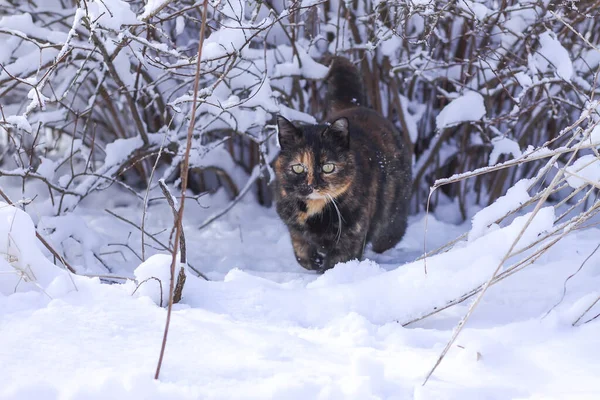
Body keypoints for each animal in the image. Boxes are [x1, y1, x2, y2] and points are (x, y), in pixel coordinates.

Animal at [274, 57, 410, 272]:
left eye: (328, 167)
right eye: (298, 167)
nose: (312, 185)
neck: (315, 211)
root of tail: (355, 105)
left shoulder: (351, 236)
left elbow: (336, 264)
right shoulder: (292, 225)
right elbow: (301, 253)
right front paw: (314, 262)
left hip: (391, 217)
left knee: (389, 234)